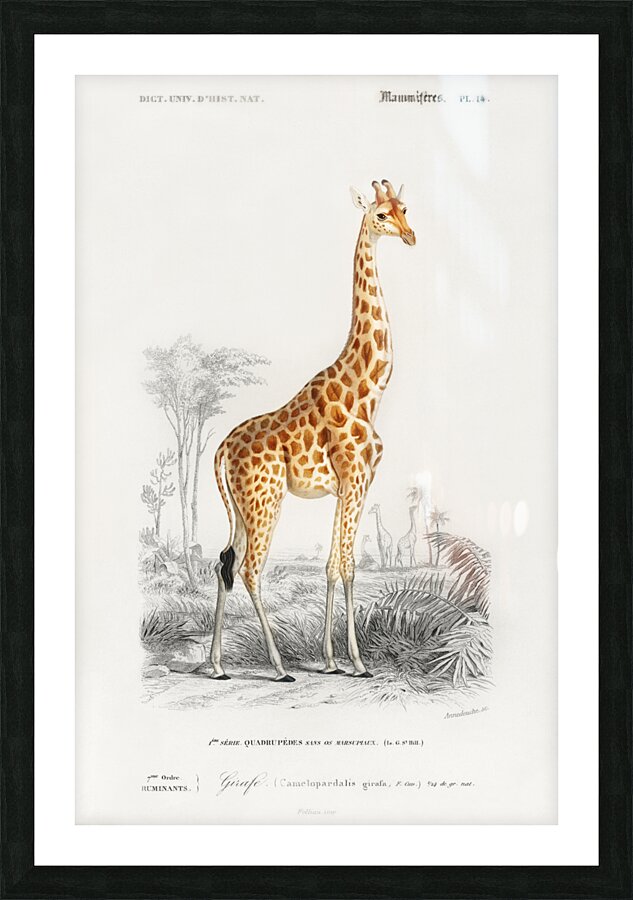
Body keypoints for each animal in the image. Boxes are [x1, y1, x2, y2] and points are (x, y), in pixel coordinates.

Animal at [210, 179, 415, 682]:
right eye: (380, 215)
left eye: (405, 208)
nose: (410, 236)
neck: (369, 390)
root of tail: (221, 449)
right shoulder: (356, 479)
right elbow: (349, 565)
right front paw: (358, 662)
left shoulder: (347, 487)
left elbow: (331, 565)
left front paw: (331, 660)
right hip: (265, 501)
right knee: (250, 569)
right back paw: (280, 667)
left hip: (242, 508)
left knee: (224, 562)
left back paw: (217, 666)